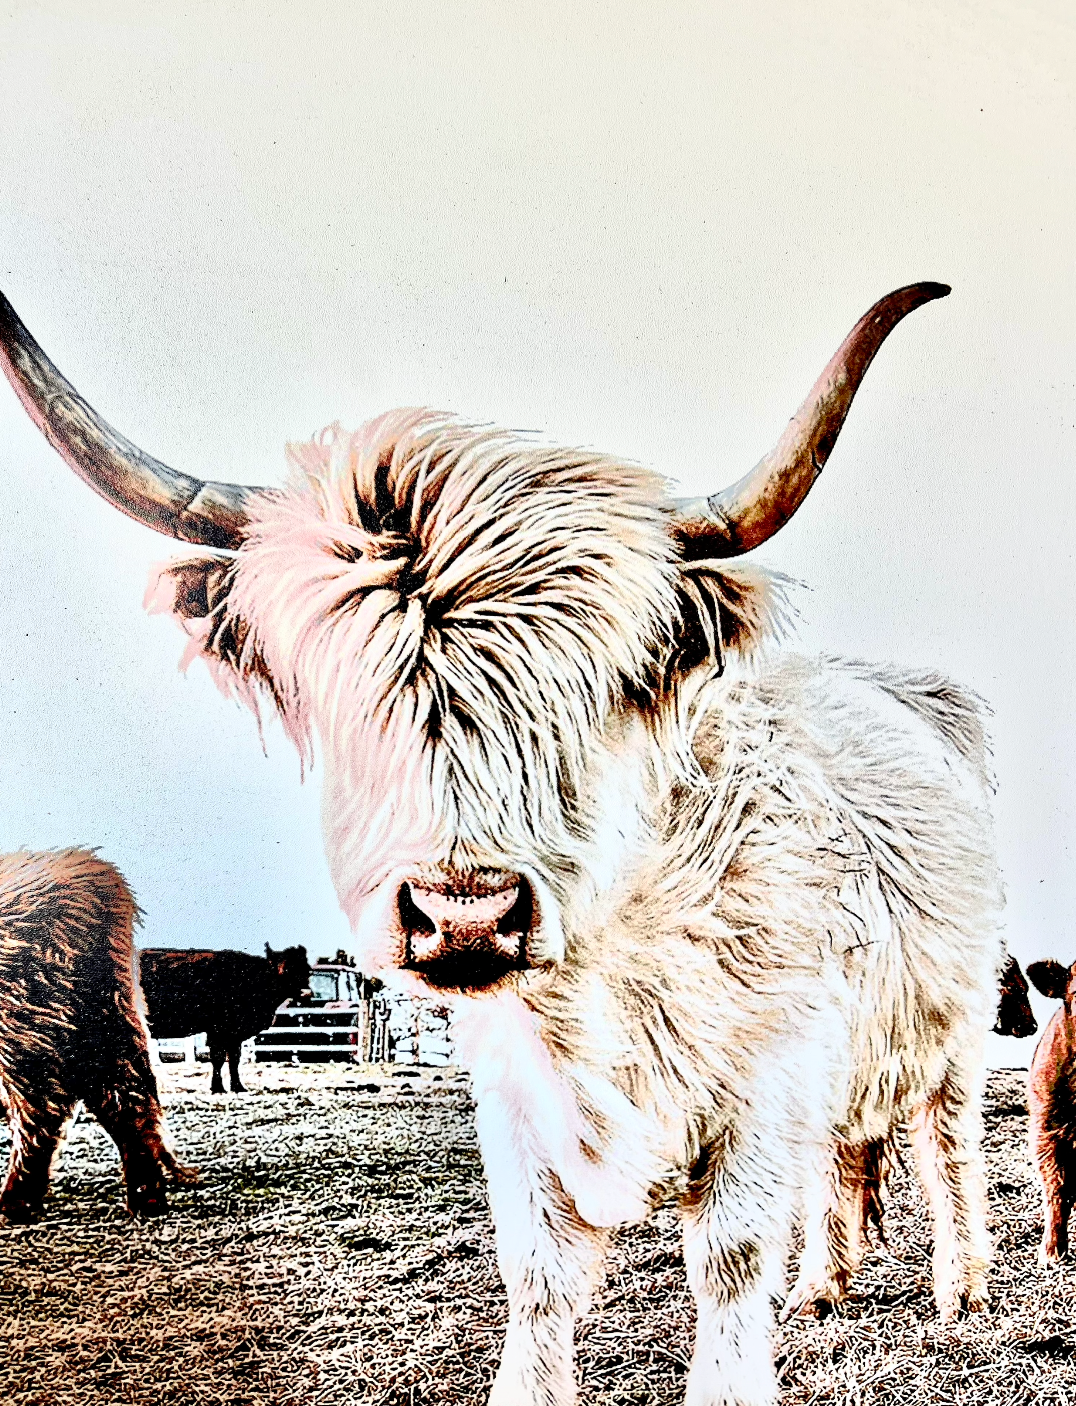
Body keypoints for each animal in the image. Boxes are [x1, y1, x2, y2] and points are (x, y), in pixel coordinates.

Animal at [0, 848, 191, 1222]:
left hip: (25, 1029)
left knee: (39, 1108)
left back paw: (13, 1204)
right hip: (106, 1025)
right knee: (127, 1098)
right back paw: (147, 1198)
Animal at [139, 945, 309, 1093]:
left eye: (306, 969)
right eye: (285, 969)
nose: (305, 993)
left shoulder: (234, 1034)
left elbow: (234, 1059)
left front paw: (238, 1087)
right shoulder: (218, 1031)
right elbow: (219, 1058)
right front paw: (218, 1088)